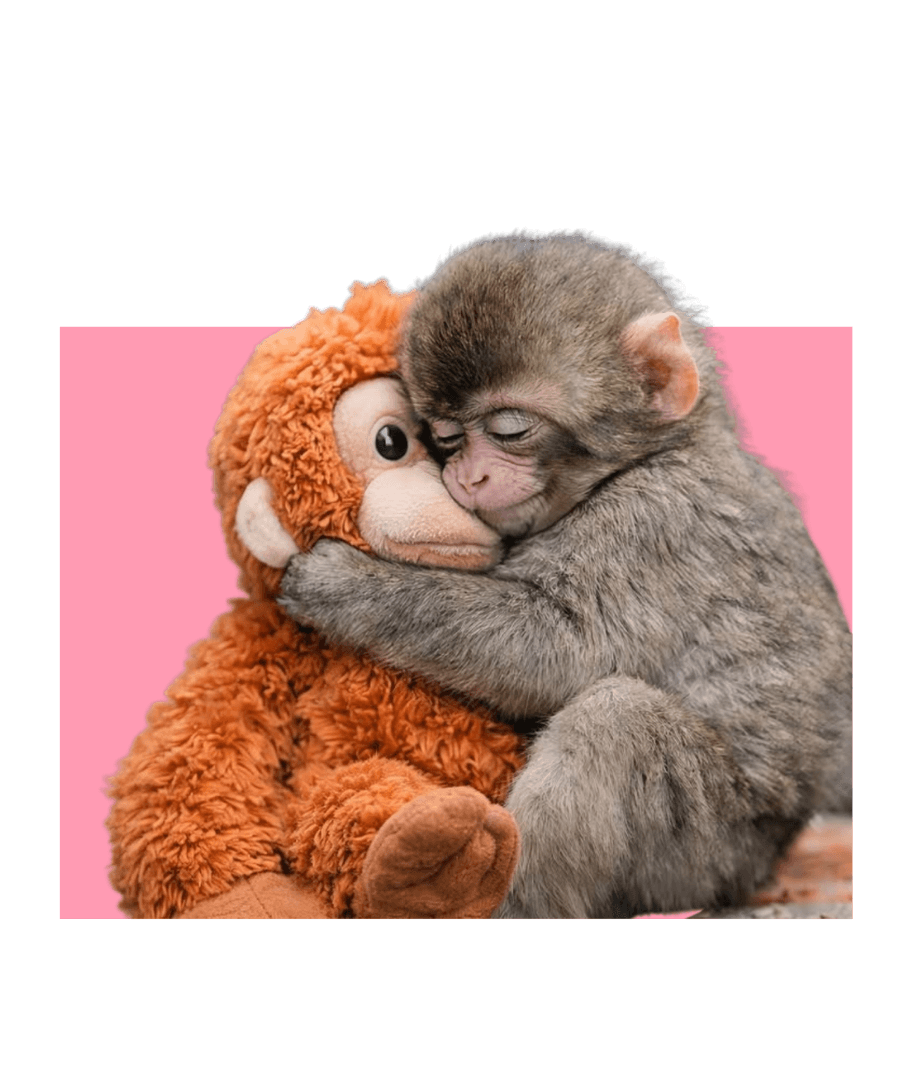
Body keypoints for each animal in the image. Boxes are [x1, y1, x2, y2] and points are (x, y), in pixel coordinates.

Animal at [280, 230, 853, 919]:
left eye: (510, 429)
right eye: (446, 438)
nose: (466, 477)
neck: (654, 455)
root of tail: (765, 862)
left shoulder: (653, 524)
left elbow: (562, 649)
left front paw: (341, 582)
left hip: (708, 851)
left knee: (614, 720)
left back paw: (496, 898)